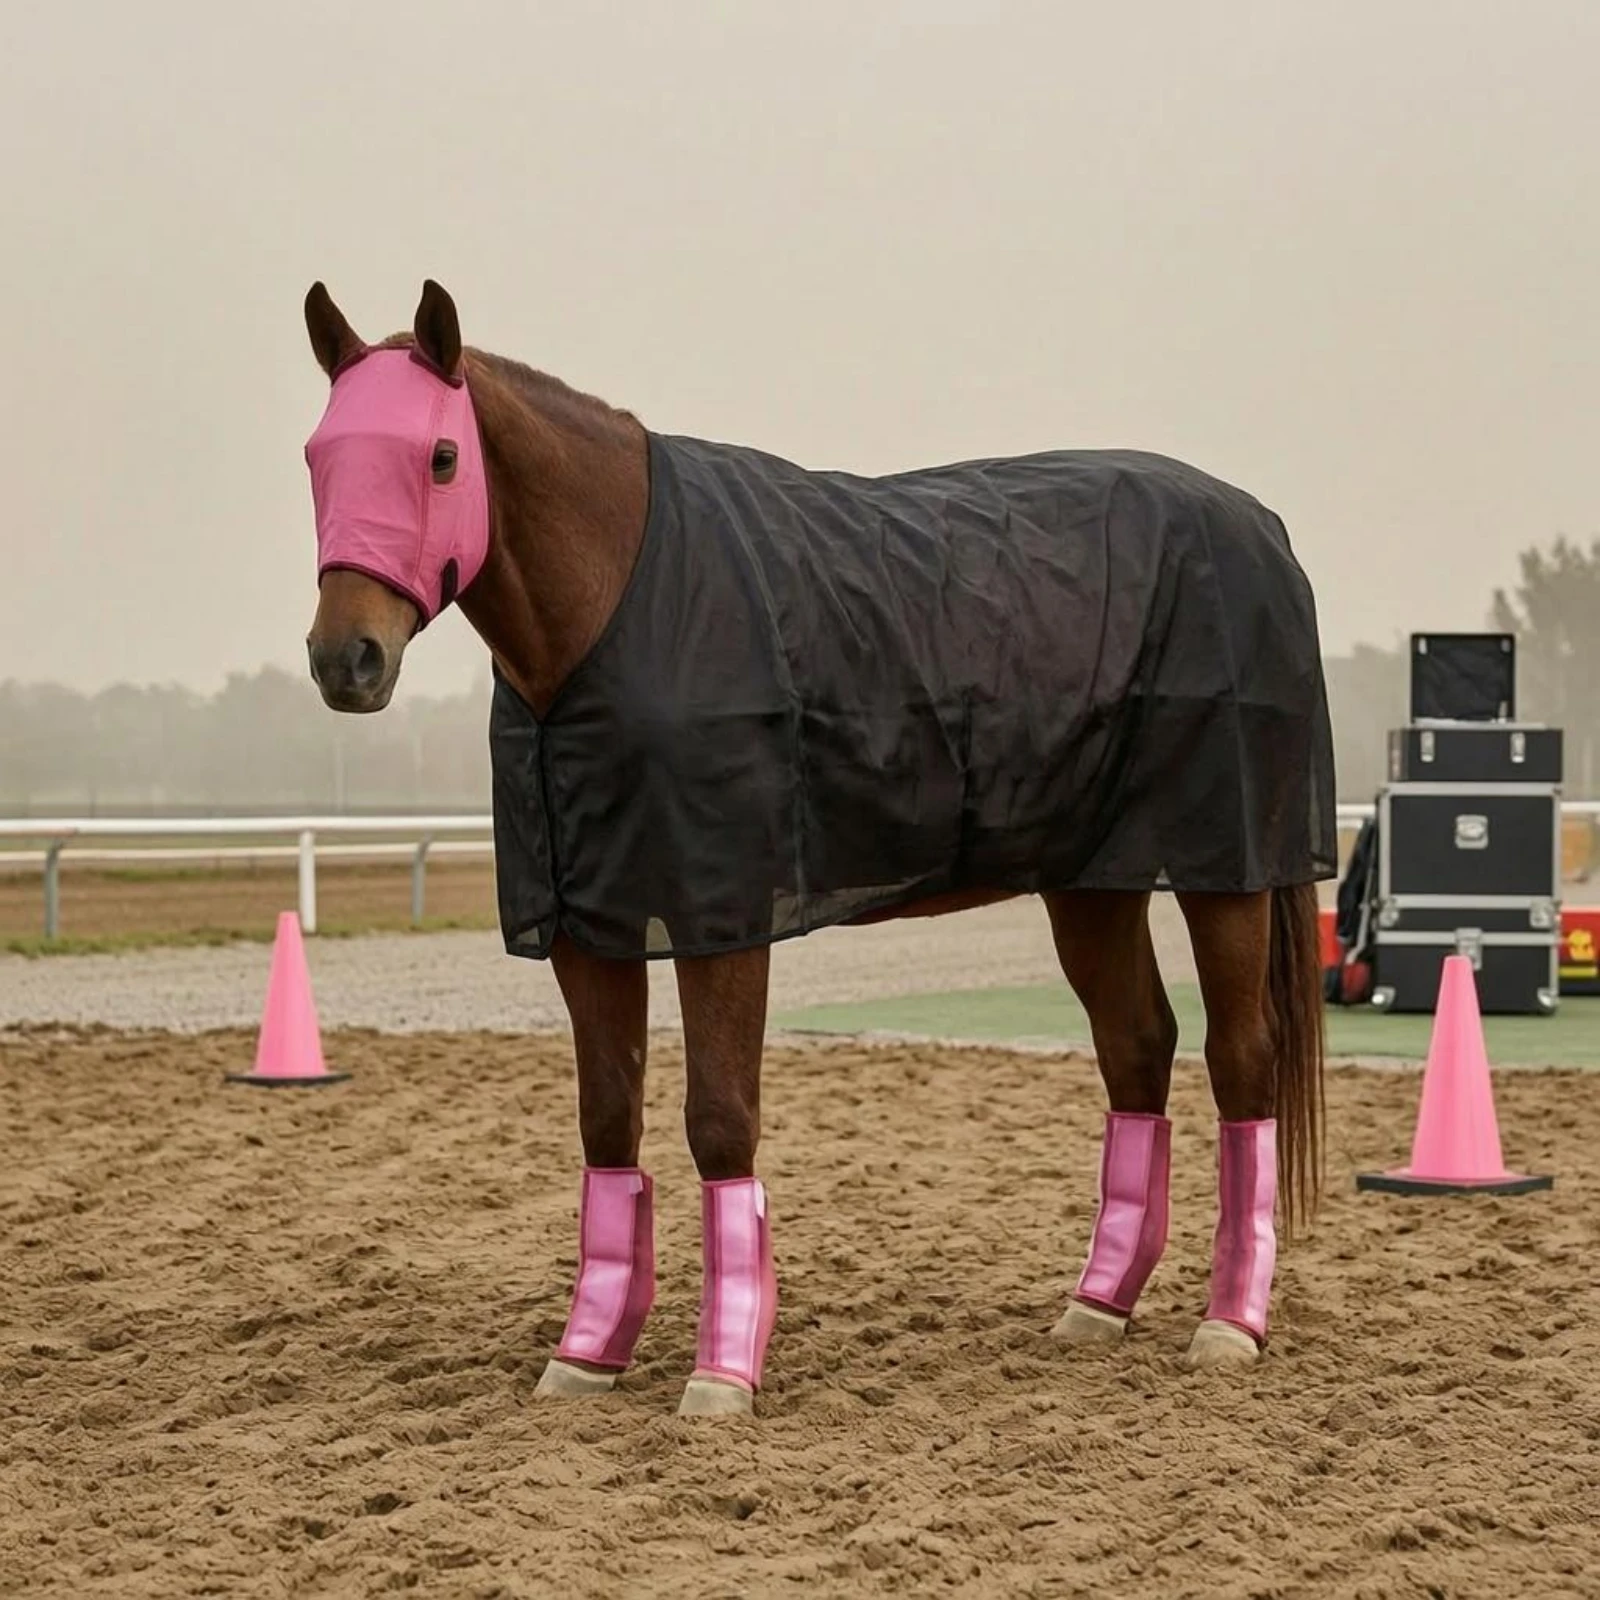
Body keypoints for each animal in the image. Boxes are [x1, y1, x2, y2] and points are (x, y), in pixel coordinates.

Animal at [299, 278, 1336, 1418]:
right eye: (318, 455)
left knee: (1241, 1059)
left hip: (1225, 869)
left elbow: (719, 1121)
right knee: (1139, 1048)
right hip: (1090, 880)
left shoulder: (721, 920)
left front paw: (722, 1373)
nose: (345, 659)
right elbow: (609, 1125)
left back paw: (1229, 1324)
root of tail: (1264, 528)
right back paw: (1096, 1305)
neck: (621, 600)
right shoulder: (589, 927)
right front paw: (586, 1354)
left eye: (441, 455)